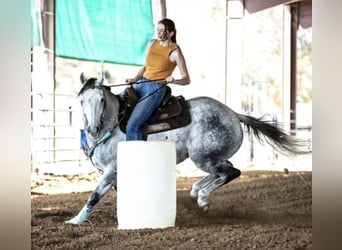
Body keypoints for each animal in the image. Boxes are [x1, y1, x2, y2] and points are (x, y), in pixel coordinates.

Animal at [65, 74, 308, 225]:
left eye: (101, 100)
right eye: (82, 100)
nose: (93, 128)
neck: (114, 123)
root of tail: (233, 114)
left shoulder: (111, 170)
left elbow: (94, 195)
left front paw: (75, 221)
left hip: (203, 157)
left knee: (231, 172)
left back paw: (202, 198)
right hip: (210, 156)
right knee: (222, 171)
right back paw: (195, 192)